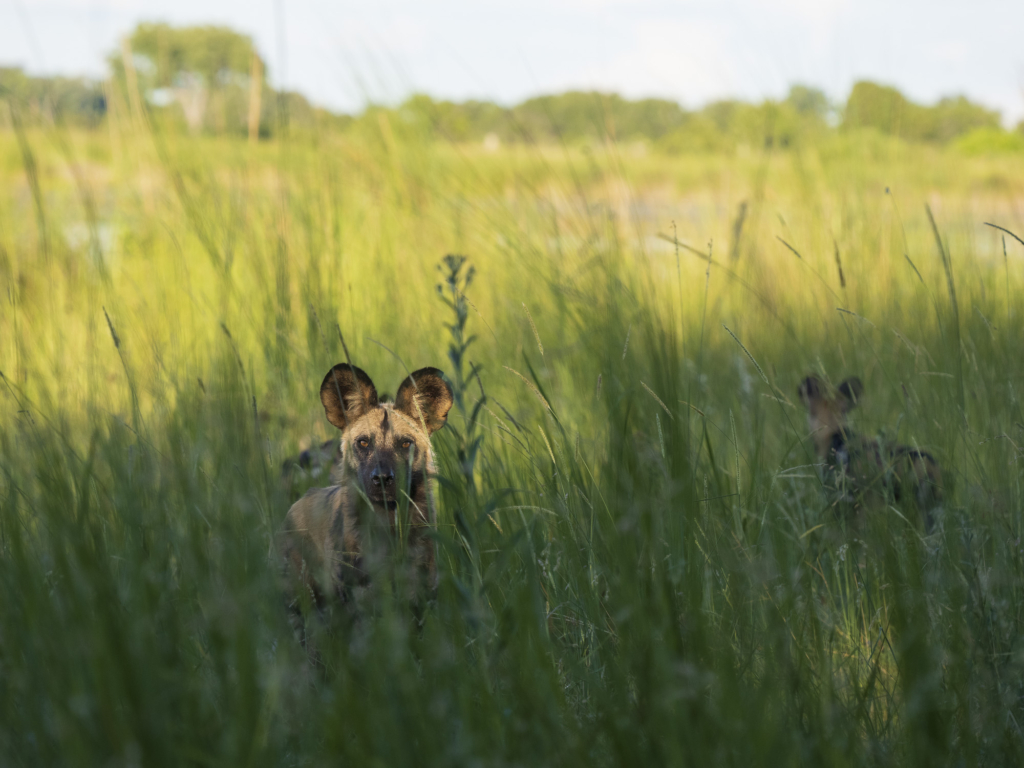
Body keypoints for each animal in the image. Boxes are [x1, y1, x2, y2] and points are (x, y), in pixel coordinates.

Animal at [280, 364, 456, 647]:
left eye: (405, 443)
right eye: (363, 442)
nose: (381, 478)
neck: (389, 527)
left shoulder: (417, 603)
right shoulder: (361, 608)